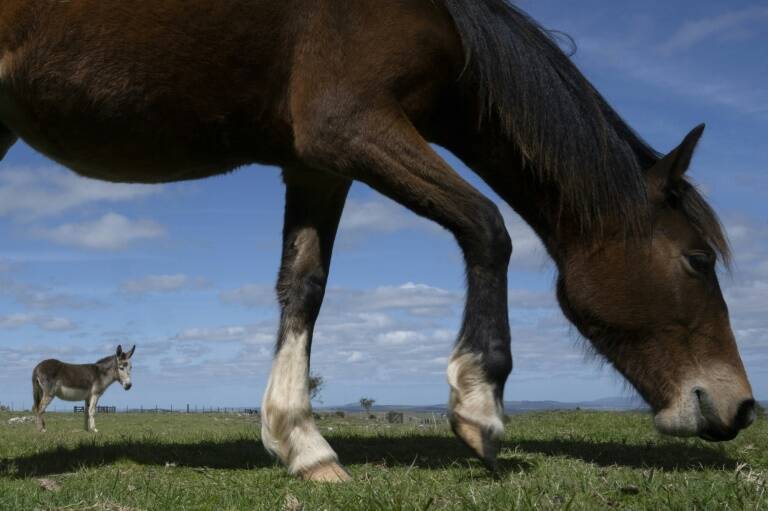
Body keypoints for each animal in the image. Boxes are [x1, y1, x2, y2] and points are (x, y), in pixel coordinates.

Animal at [0, 0, 756, 482]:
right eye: (697, 259)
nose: (742, 406)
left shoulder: (318, 161)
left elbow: (303, 286)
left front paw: (300, 441)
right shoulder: (351, 125)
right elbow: (487, 226)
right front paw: (479, 401)